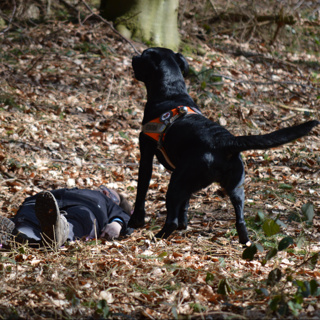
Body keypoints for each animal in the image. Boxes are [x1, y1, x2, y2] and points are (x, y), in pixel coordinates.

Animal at [128, 46, 320, 244]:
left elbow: (141, 190)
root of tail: (226, 142)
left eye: (143, 54)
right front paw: (184, 224)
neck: (171, 91)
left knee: (171, 219)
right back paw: (244, 242)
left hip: (176, 183)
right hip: (234, 189)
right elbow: (185, 204)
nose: (133, 56)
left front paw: (136, 221)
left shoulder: (147, 154)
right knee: (241, 221)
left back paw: (156, 237)